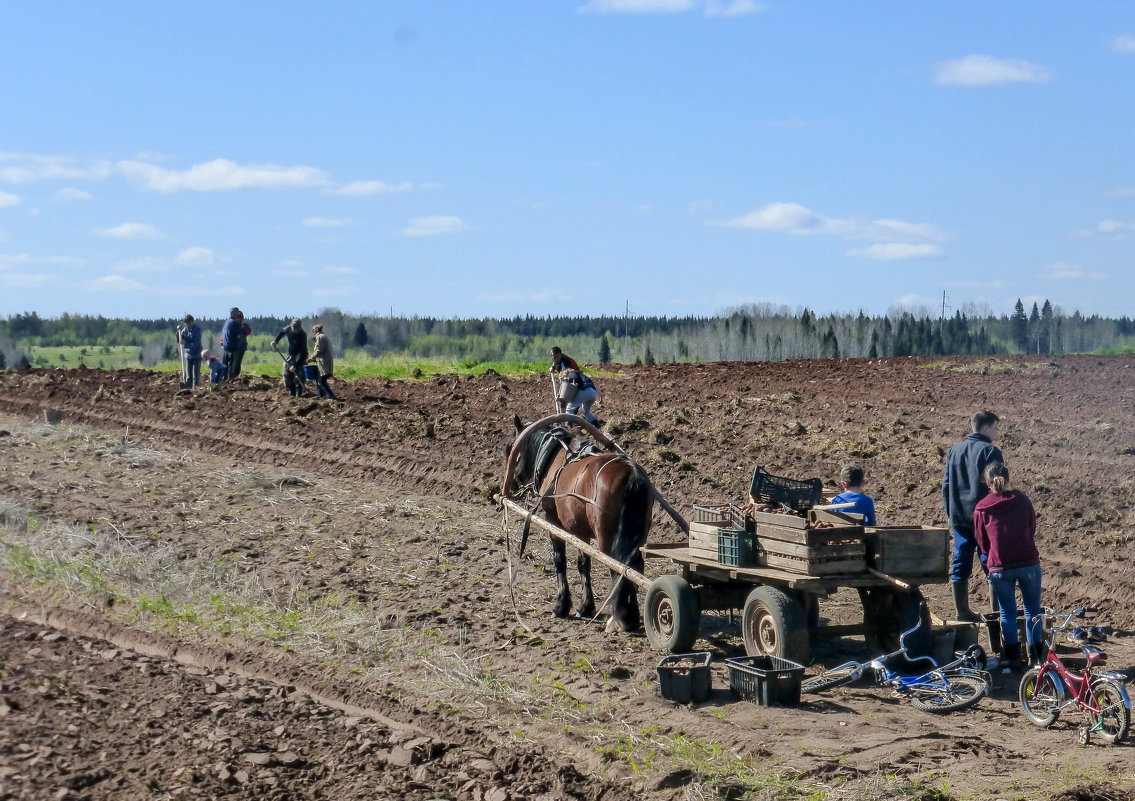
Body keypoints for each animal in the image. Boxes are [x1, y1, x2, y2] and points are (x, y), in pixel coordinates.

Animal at [501, 415, 653, 635]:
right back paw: (630, 616)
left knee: (617, 567)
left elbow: (559, 560)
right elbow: (583, 564)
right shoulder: (581, 532)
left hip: (607, 538)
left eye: (509, 447)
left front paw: (561, 606)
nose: (511, 483)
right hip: (638, 536)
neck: (554, 457)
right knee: (634, 567)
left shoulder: (552, 520)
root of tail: (630, 474)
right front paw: (585, 607)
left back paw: (618, 619)